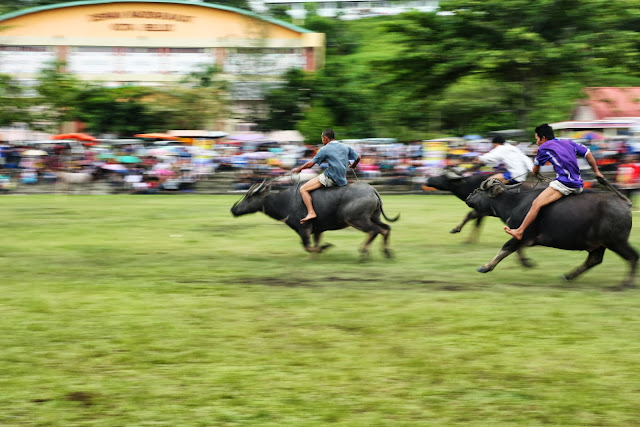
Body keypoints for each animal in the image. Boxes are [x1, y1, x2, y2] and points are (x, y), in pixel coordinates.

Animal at [230, 181, 400, 258]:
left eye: (249, 196)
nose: (233, 209)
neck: (285, 201)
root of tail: (372, 190)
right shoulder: (318, 230)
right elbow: (314, 244)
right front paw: (319, 252)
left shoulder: (303, 229)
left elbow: (307, 246)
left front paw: (326, 247)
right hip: (374, 217)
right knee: (386, 228)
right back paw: (387, 253)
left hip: (357, 220)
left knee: (374, 231)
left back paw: (364, 253)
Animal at [464, 179, 640, 290]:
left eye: (479, 190)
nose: (468, 196)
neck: (514, 203)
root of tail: (625, 203)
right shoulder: (522, 238)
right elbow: (515, 250)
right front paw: (527, 263)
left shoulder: (522, 235)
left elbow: (506, 247)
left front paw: (486, 266)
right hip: (599, 244)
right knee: (594, 260)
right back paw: (568, 276)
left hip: (616, 242)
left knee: (632, 256)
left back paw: (626, 284)